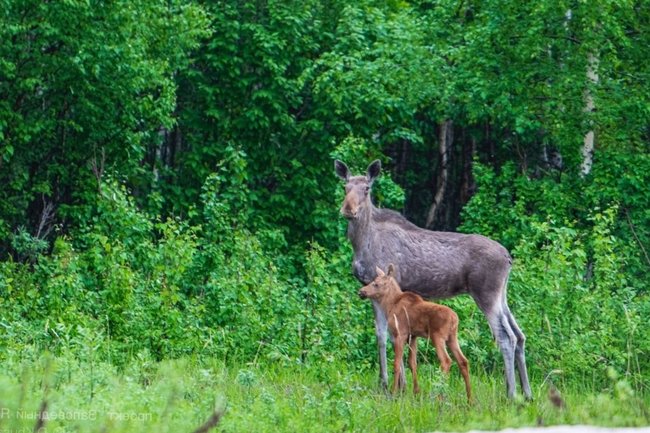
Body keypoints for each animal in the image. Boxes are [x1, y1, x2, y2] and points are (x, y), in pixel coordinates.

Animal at [356, 264, 468, 400]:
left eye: (376, 284)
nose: (361, 292)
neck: (389, 305)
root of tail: (454, 319)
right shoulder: (413, 336)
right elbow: (412, 363)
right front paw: (416, 392)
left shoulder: (400, 334)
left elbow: (397, 364)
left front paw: (394, 392)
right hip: (452, 338)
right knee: (463, 361)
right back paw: (470, 399)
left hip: (437, 337)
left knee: (446, 361)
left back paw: (439, 396)